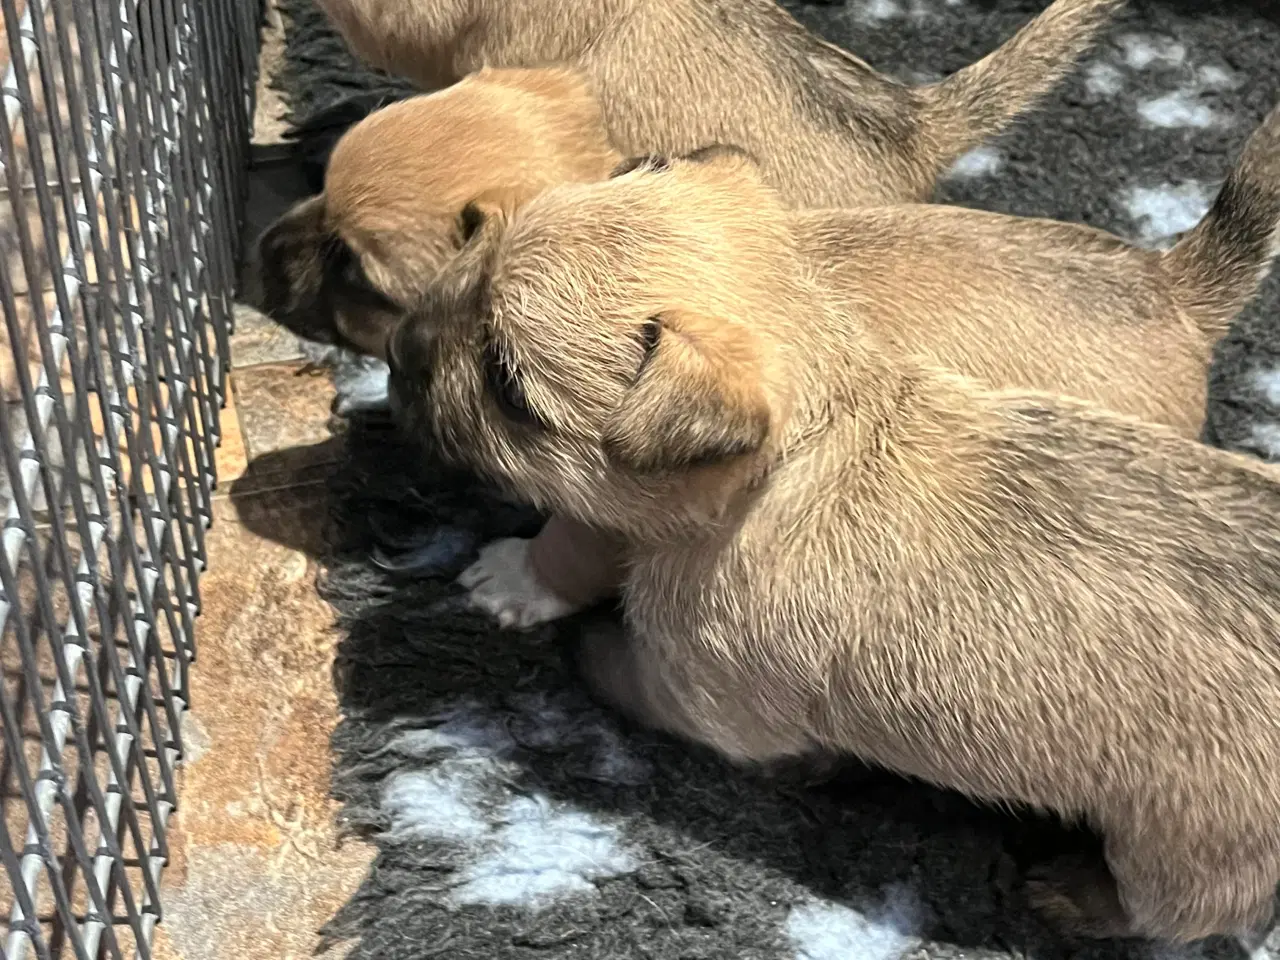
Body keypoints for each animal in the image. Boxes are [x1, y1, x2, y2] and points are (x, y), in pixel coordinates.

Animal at [384, 150, 1280, 947]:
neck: (816, 428)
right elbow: (576, 540)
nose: (394, 352)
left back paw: (1074, 895)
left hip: (1184, 851)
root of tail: (1176, 286)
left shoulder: (703, 693)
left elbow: (621, 664)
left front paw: (580, 638)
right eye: (475, 248)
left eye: (506, 384)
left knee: (1175, 911)